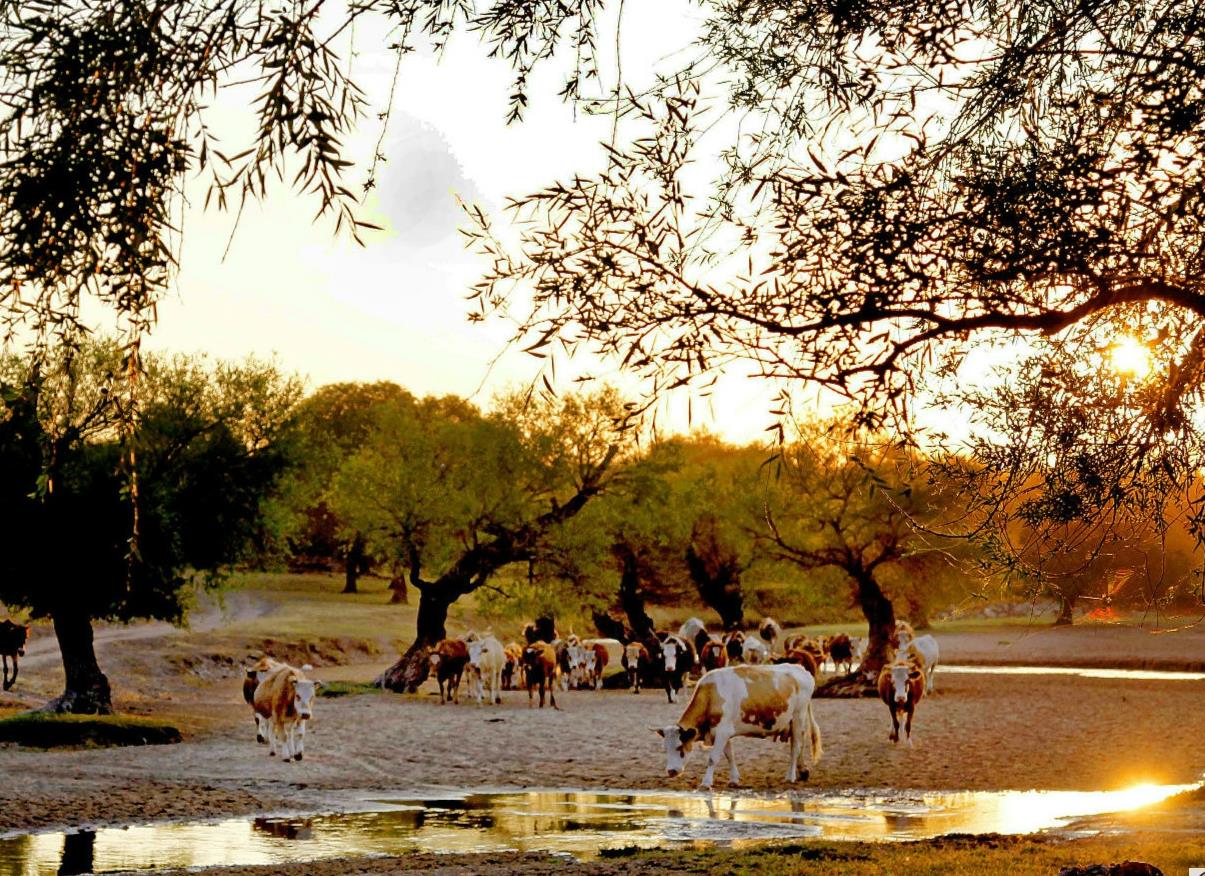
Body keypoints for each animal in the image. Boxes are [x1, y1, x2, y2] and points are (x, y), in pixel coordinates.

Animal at [655, 665, 824, 795]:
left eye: (680, 747)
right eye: (665, 748)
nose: (670, 771)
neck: (711, 695)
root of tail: (801, 669)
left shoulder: (722, 732)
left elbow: (713, 758)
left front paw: (706, 783)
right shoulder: (722, 733)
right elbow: (730, 755)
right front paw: (734, 779)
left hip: (798, 716)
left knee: (795, 748)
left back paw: (790, 776)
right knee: (799, 743)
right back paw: (803, 771)